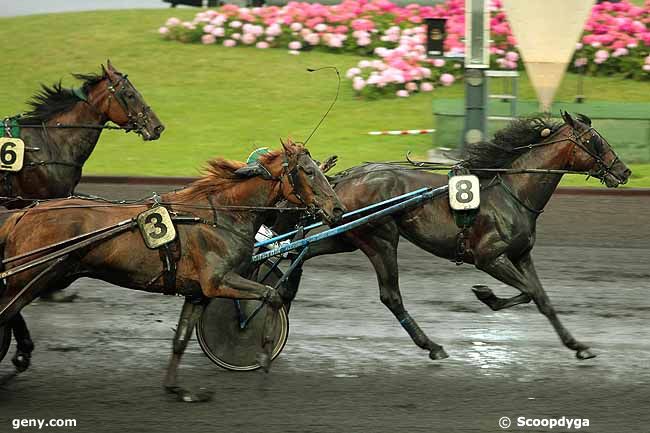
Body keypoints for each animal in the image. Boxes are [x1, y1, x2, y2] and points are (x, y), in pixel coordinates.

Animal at [0, 142, 344, 402]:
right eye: (309, 172)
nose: (338, 209)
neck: (219, 215)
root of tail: (22, 214)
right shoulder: (219, 281)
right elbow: (271, 295)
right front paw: (261, 354)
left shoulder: (197, 292)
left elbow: (180, 339)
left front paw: (178, 389)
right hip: (34, 275)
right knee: (8, 311)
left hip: (49, 274)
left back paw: (23, 354)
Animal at [272, 110, 628, 358]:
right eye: (595, 141)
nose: (623, 171)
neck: (512, 192)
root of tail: (344, 178)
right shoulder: (489, 257)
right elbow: (526, 292)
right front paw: (486, 295)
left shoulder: (521, 255)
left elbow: (542, 299)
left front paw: (577, 345)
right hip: (380, 239)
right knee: (391, 296)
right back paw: (431, 345)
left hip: (347, 236)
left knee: (302, 249)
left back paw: (283, 291)